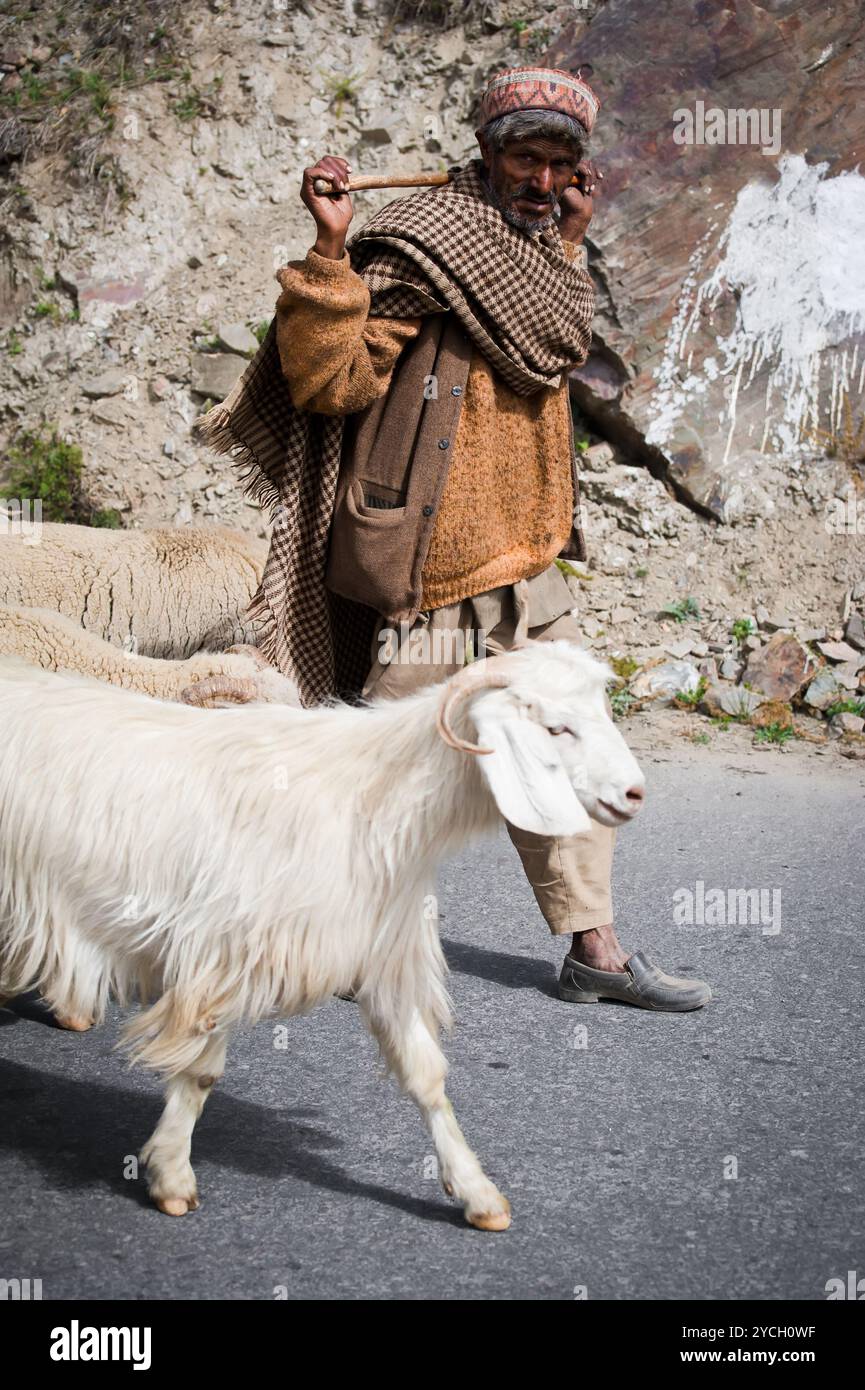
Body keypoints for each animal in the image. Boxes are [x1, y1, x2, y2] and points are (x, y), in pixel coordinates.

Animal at [0, 636, 645, 1228]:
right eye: (557, 728)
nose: (634, 793)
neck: (371, 802)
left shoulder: (383, 954)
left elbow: (426, 1075)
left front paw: (476, 1192)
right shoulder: (225, 951)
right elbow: (200, 1072)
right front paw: (171, 1176)